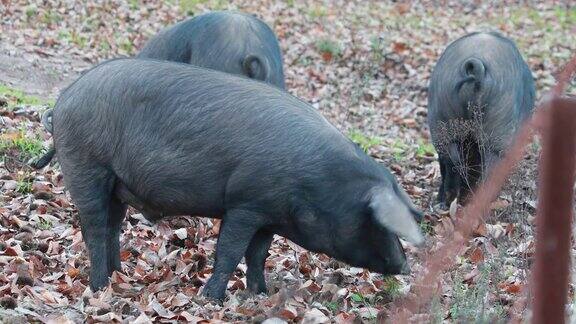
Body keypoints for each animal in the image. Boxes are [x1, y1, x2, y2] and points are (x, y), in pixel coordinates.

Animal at [53, 58, 424, 302]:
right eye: (377, 222)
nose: (405, 266)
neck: (316, 183)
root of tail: (62, 100)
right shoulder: (246, 204)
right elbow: (230, 252)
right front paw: (211, 299)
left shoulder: (268, 215)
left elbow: (257, 255)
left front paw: (261, 294)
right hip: (86, 166)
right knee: (94, 228)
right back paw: (100, 287)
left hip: (115, 184)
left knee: (112, 226)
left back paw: (119, 276)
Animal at [428, 31, 536, 206]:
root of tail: (477, 66)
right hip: (497, 136)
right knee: (489, 173)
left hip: (441, 123)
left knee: (450, 162)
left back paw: (445, 201)